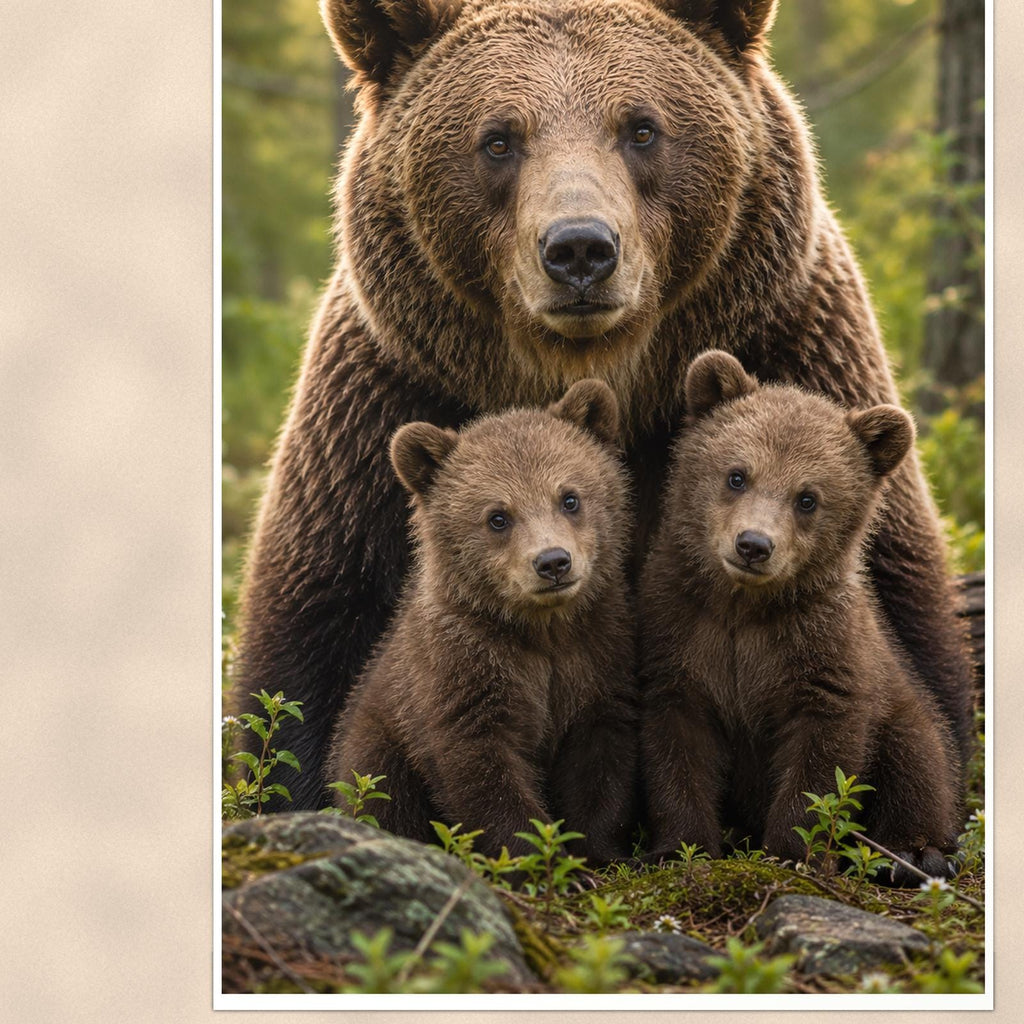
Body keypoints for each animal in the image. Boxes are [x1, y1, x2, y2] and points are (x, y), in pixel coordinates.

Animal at [230, 0, 973, 811]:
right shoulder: (382, 406)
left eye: (642, 128)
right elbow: (310, 646)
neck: (603, 373)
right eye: (498, 139)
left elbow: (897, 618)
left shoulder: (798, 349)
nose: (580, 249)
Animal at [325, 379, 637, 862]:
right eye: (498, 516)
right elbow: (480, 769)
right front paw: (536, 854)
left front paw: (598, 851)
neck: (543, 631)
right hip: (375, 740)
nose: (553, 562)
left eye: (570, 497)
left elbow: (601, 761)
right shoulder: (462, 668)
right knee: (382, 796)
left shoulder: (597, 655)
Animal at [639, 351, 961, 883]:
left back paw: (915, 853)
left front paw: (794, 851)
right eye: (737, 475)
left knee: (917, 755)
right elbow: (675, 746)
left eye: (808, 497)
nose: (753, 544)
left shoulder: (823, 650)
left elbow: (823, 759)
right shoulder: (680, 635)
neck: (744, 608)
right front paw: (681, 847)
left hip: (899, 700)